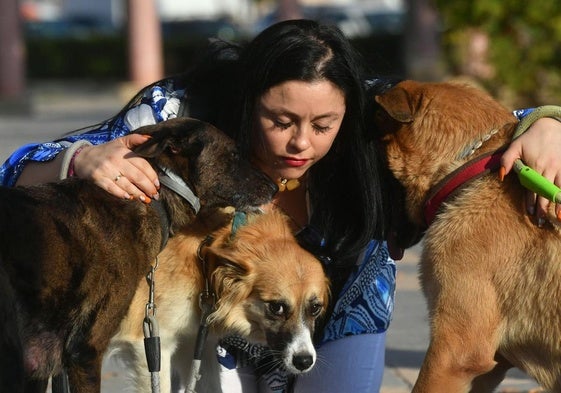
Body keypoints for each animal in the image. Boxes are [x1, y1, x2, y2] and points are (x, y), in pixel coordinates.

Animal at [107, 210, 330, 392]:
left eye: (315, 308)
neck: (204, 266)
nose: (304, 361)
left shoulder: (196, 344)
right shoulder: (152, 343)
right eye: (276, 307)